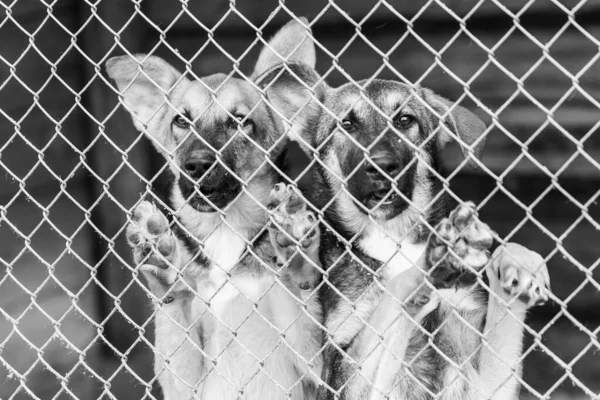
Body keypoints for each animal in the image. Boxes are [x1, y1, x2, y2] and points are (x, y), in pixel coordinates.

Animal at [105, 18, 326, 400]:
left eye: (240, 122)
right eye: (181, 121)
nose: (196, 166)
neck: (225, 229)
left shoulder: (316, 370)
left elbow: (301, 301)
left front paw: (297, 257)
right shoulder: (183, 385)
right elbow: (173, 314)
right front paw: (160, 262)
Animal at [258, 33, 552, 396]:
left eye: (404, 120)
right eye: (347, 124)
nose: (383, 166)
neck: (393, 236)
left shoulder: (482, 379)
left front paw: (518, 266)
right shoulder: (344, 372)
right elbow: (393, 295)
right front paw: (428, 265)